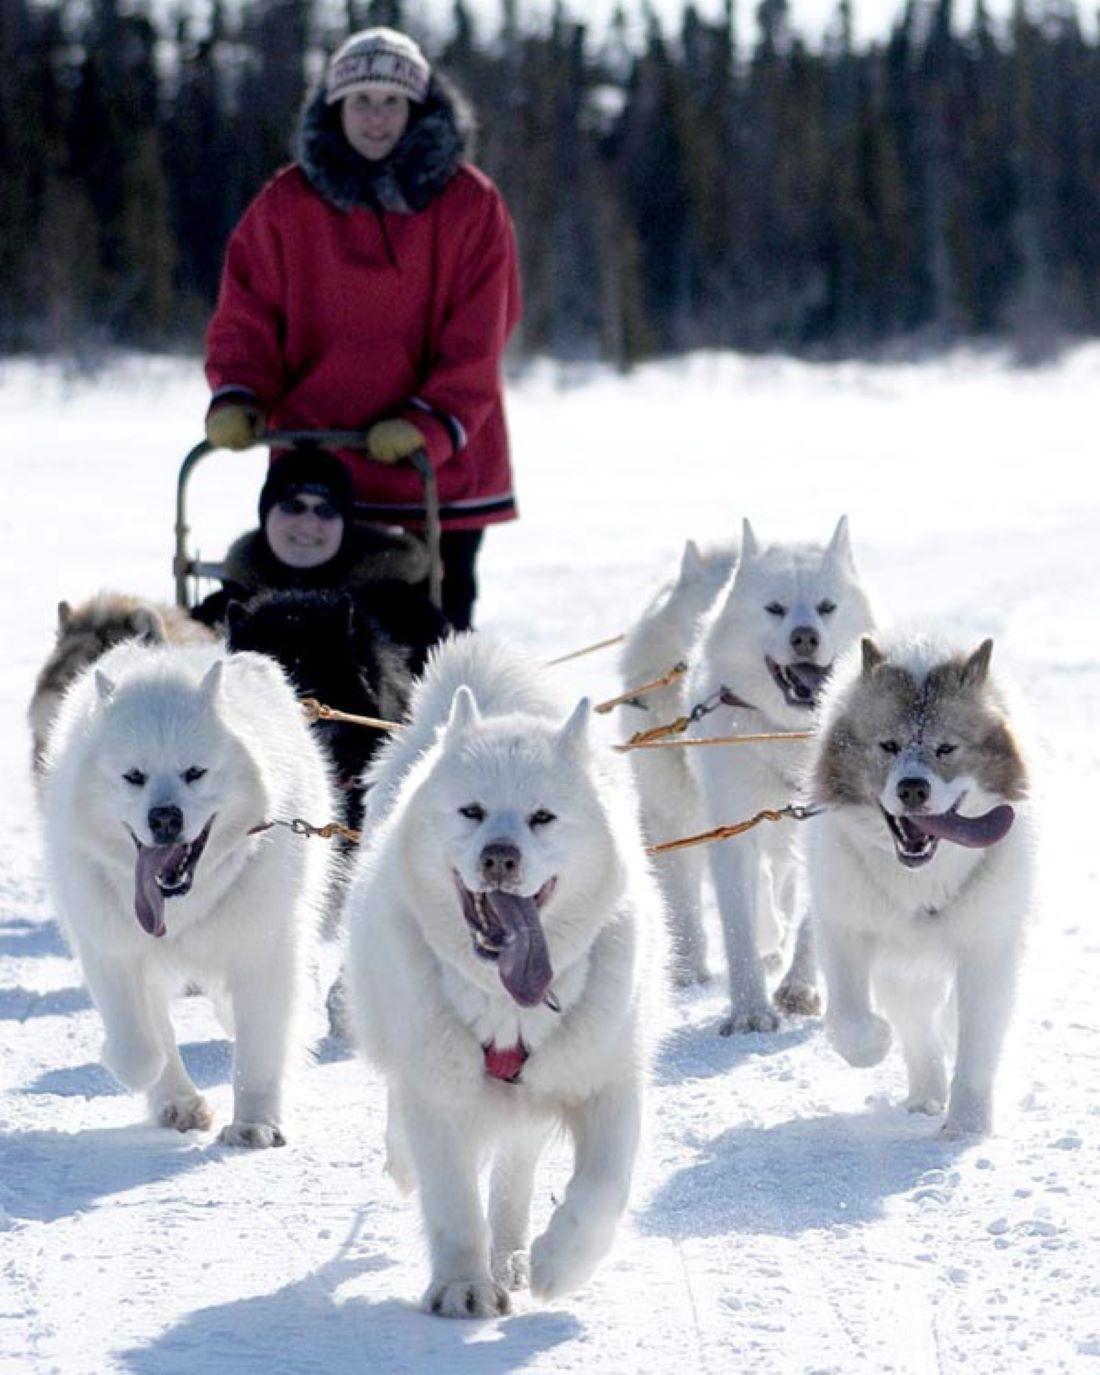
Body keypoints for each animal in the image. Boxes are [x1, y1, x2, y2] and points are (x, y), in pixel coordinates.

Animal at [42, 638, 332, 1144]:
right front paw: (146, 1073)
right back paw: (178, 1103)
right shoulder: (111, 946)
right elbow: (140, 1045)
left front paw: (255, 1123)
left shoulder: (264, 948)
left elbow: (260, 1047)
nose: (165, 817)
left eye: (195, 772)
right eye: (133, 776)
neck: (183, 906)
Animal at [346, 632, 662, 1309]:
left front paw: (559, 1261)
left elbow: (603, 1190)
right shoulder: (438, 1094)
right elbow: (453, 1202)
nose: (499, 856)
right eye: (472, 811)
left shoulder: (607, 1080)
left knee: (514, 1175)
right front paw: (462, 1286)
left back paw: (513, 1256)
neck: (507, 1004)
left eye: (542, 816)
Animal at [687, 517, 874, 1034]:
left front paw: (799, 988)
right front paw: (750, 1009)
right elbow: (738, 924)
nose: (805, 636)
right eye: (775, 609)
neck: (787, 733)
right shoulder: (731, 831)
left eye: (827, 606)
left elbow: (813, 920)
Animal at [808, 638, 1034, 1133]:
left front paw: (967, 1126)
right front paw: (873, 1043)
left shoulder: (986, 949)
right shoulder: (845, 928)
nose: (913, 788)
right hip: (903, 965)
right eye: (889, 746)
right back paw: (925, 1096)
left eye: (946, 748)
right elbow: (848, 1019)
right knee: (916, 1030)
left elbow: (976, 1043)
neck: (920, 879)